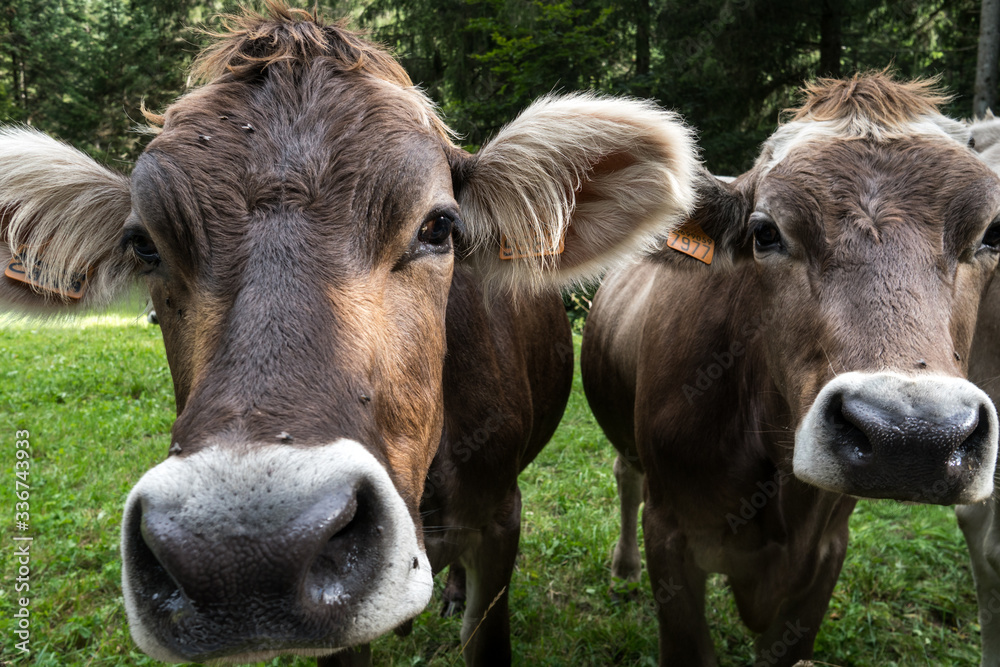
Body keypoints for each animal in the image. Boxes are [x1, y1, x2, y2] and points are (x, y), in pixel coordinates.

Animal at [581, 73, 1000, 666]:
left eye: (992, 233)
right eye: (766, 233)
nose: (913, 436)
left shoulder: (824, 554)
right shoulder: (669, 533)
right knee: (626, 474)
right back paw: (623, 567)